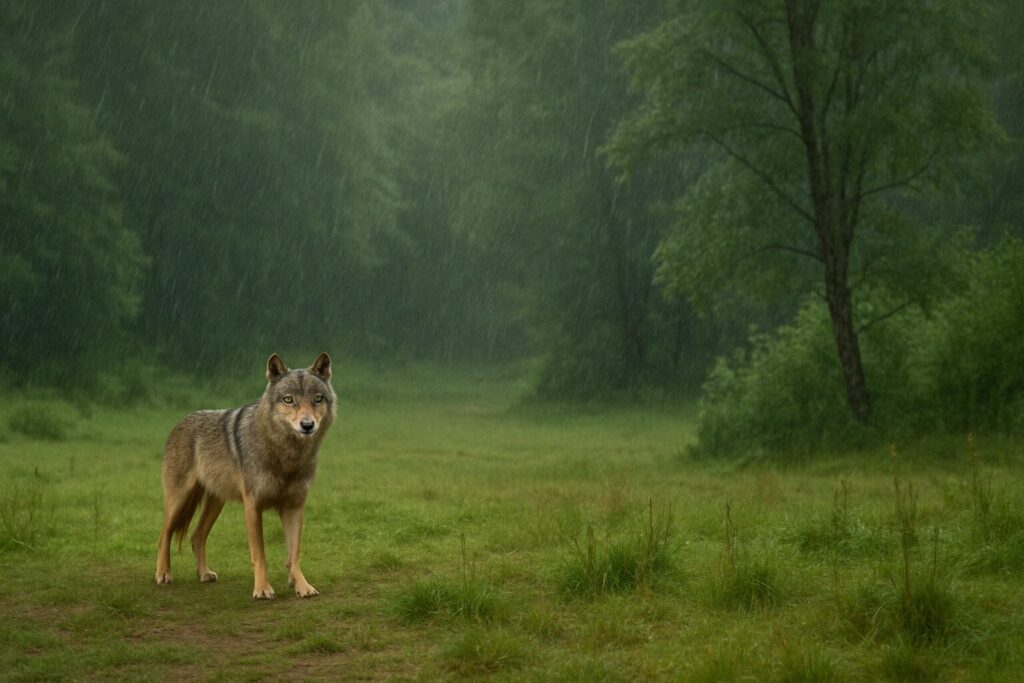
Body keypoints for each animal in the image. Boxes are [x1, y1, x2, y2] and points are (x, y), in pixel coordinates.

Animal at [155, 352, 337, 599]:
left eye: (317, 399)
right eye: (289, 400)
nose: (307, 425)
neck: (286, 455)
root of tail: (180, 421)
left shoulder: (294, 507)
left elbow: (294, 555)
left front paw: (302, 586)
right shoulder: (252, 506)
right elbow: (260, 555)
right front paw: (262, 589)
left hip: (216, 503)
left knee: (196, 536)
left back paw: (204, 574)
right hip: (179, 500)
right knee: (164, 536)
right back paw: (163, 574)